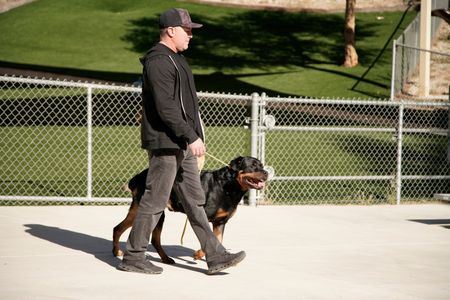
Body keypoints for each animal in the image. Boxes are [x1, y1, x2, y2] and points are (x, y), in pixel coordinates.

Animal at [112, 156, 268, 264]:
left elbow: (218, 239)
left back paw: (118, 252)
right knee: (151, 238)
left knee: (118, 228)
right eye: (253, 166)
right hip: (154, 210)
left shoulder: (220, 222)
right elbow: (208, 237)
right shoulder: (202, 215)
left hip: (144, 210)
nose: (266, 173)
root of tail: (138, 176)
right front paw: (199, 254)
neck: (228, 186)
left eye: (262, 165)